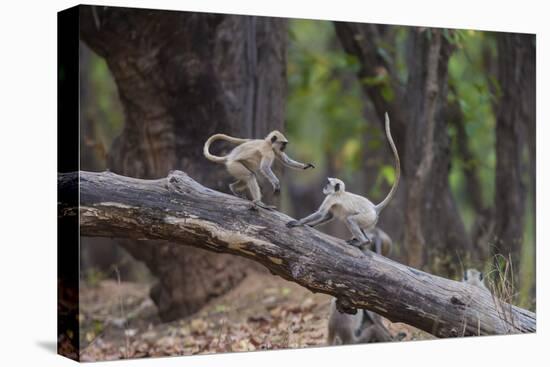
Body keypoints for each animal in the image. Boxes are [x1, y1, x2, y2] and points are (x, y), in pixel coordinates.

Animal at [288, 113, 402, 250]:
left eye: (328, 183)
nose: (324, 187)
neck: (340, 193)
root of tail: (374, 208)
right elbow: (328, 215)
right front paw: (310, 225)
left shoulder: (331, 197)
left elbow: (321, 213)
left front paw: (298, 222)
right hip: (370, 221)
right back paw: (366, 241)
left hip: (366, 217)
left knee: (350, 220)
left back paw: (363, 242)